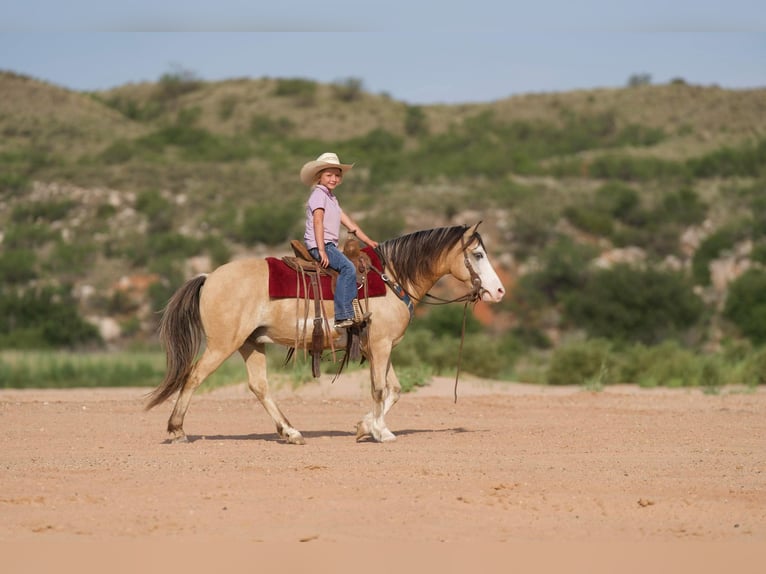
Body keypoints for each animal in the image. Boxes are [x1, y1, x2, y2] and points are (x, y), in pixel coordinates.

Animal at [146, 223, 506, 444]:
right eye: (477, 255)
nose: (499, 291)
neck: (392, 278)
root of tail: (209, 277)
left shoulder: (381, 346)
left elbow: (394, 389)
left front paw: (365, 427)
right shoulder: (381, 344)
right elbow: (379, 389)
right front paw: (381, 432)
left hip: (250, 343)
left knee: (259, 387)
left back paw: (290, 432)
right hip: (222, 344)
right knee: (193, 377)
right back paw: (177, 430)